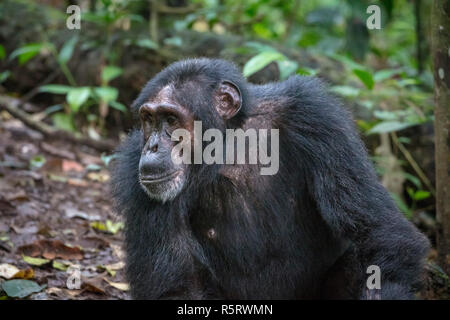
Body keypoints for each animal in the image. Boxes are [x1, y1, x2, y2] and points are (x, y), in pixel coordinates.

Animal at [110, 58, 430, 300]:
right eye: (149, 120)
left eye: (171, 119)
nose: (152, 146)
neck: (229, 146)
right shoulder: (133, 168)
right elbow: (175, 287)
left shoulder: (316, 118)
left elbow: (380, 232)